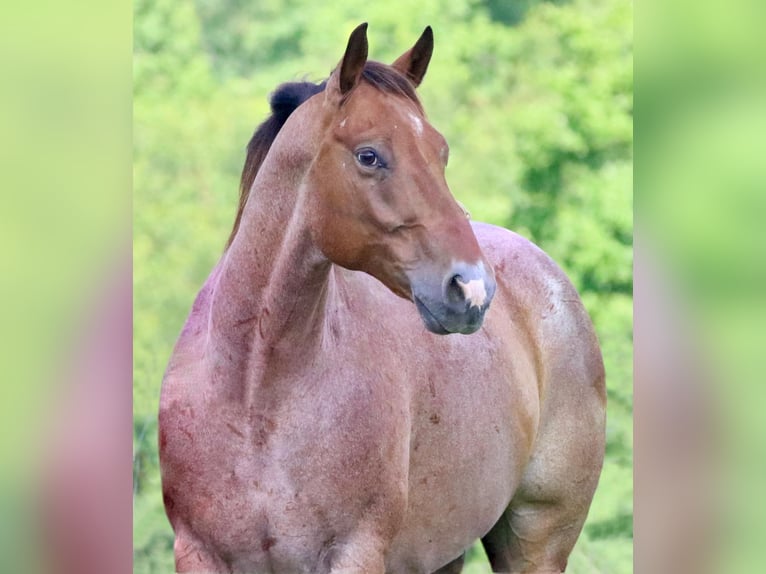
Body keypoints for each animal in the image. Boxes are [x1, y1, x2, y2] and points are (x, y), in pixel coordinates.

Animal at [160, 23, 608, 574]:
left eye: (441, 152)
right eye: (369, 155)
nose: (472, 289)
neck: (253, 395)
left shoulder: (356, 553)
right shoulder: (199, 554)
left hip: (536, 538)